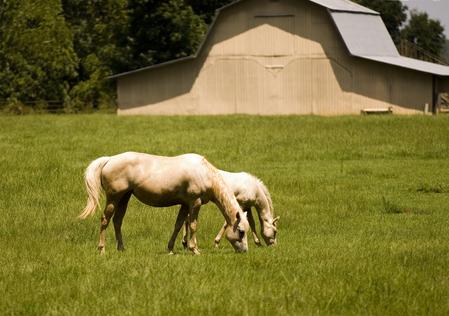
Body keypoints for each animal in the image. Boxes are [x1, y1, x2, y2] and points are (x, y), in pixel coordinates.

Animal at [79, 152, 250, 254]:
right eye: (241, 232)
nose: (245, 251)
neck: (204, 173)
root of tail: (109, 159)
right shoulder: (195, 203)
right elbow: (193, 225)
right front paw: (195, 249)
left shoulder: (185, 204)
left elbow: (178, 224)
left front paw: (171, 248)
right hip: (113, 198)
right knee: (105, 220)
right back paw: (102, 249)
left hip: (124, 198)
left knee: (117, 221)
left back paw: (121, 248)